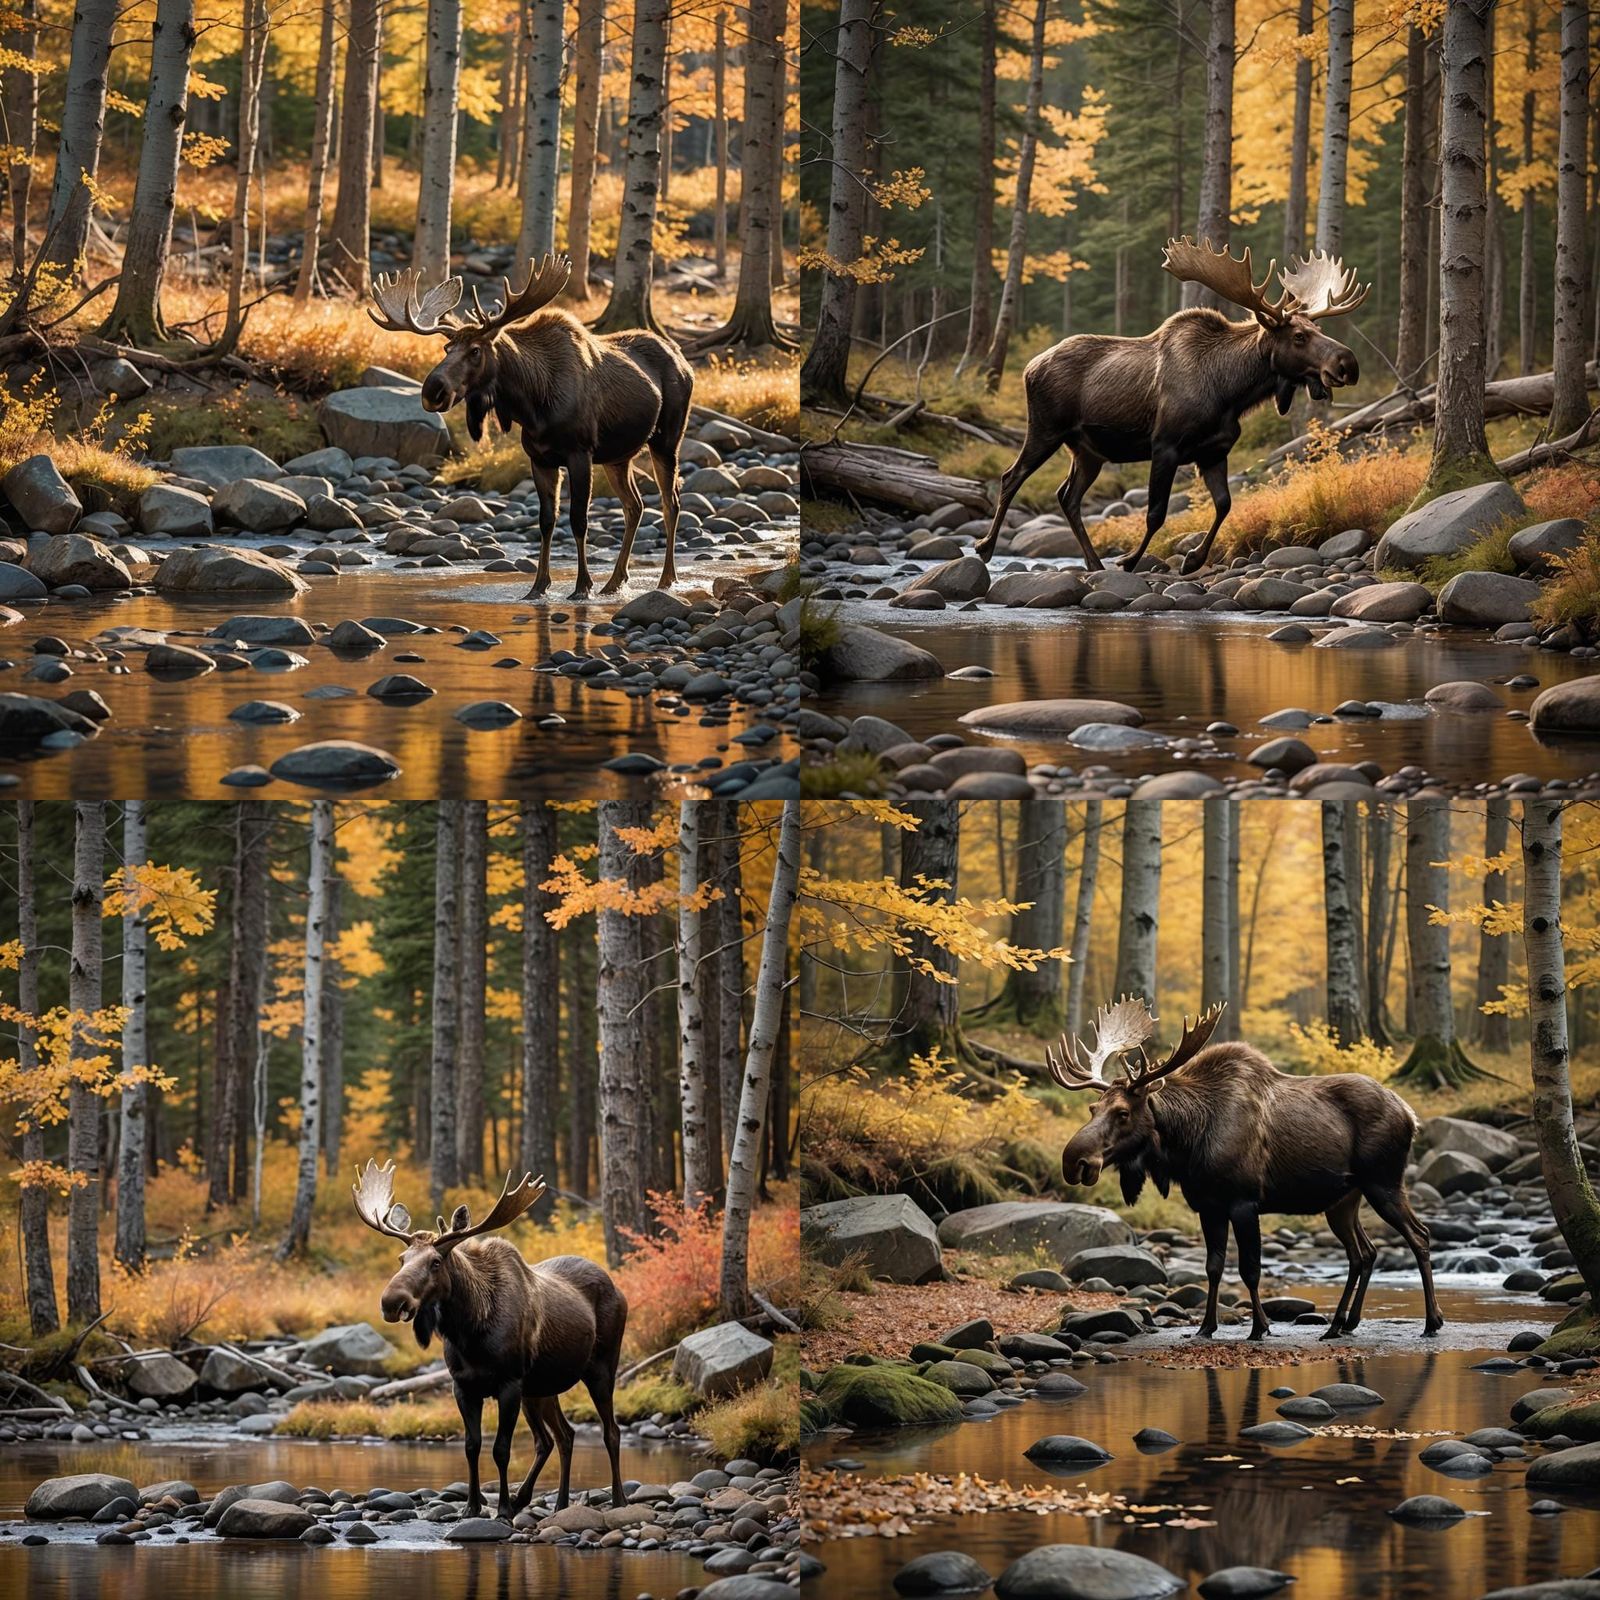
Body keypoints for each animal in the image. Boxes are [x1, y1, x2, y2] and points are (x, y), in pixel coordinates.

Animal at [353, 1160, 629, 1520]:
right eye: (401, 1260)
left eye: (436, 1261)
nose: (391, 1301)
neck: (470, 1335)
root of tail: (618, 1289)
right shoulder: (463, 1386)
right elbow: (472, 1446)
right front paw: (472, 1507)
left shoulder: (509, 1383)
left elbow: (501, 1449)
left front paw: (502, 1509)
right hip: (541, 1388)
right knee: (561, 1436)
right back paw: (555, 1503)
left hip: (600, 1369)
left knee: (610, 1432)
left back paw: (618, 1500)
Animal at [369, 254, 694, 600]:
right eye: (446, 349)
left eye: (475, 350)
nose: (432, 391)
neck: (532, 406)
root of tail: (683, 358)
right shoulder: (539, 458)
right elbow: (546, 521)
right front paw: (538, 586)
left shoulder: (580, 453)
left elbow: (578, 520)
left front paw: (582, 586)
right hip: (618, 456)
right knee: (635, 505)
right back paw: (615, 581)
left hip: (667, 439)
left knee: (671, 501)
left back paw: (666, 579)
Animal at [974, 239, 1370, 575]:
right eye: (1299, 336)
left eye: (1319, 330)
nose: (1348, 363)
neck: (1231, 393)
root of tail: (1029, 367)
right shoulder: (1164, 445)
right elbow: (1156, 514)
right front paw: (1129, 560)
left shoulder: (1213, 451)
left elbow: (1224, 504)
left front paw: (1192, 560)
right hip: (1045, 430)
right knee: (1012, 477)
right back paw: (986, 547)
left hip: (1088, 451)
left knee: (1067, 496)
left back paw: (1094, 563)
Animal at [1047, 997, 1441, 1343]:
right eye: (1093, 1108)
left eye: (1123, 1113)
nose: (1074, 1161)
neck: (1185, 1146)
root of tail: (1411, 1116)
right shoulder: (1208, 1205)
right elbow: (1214, 1267)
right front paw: (1206, 1327)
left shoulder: (1244, 1201)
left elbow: (1250, 1270)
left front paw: (1259, 1328)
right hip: (1343, 1200)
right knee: (1364, 1253)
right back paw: (1341, 1324)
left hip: (1383, 1183)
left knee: (1419, 1236)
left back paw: (1431, 1322)